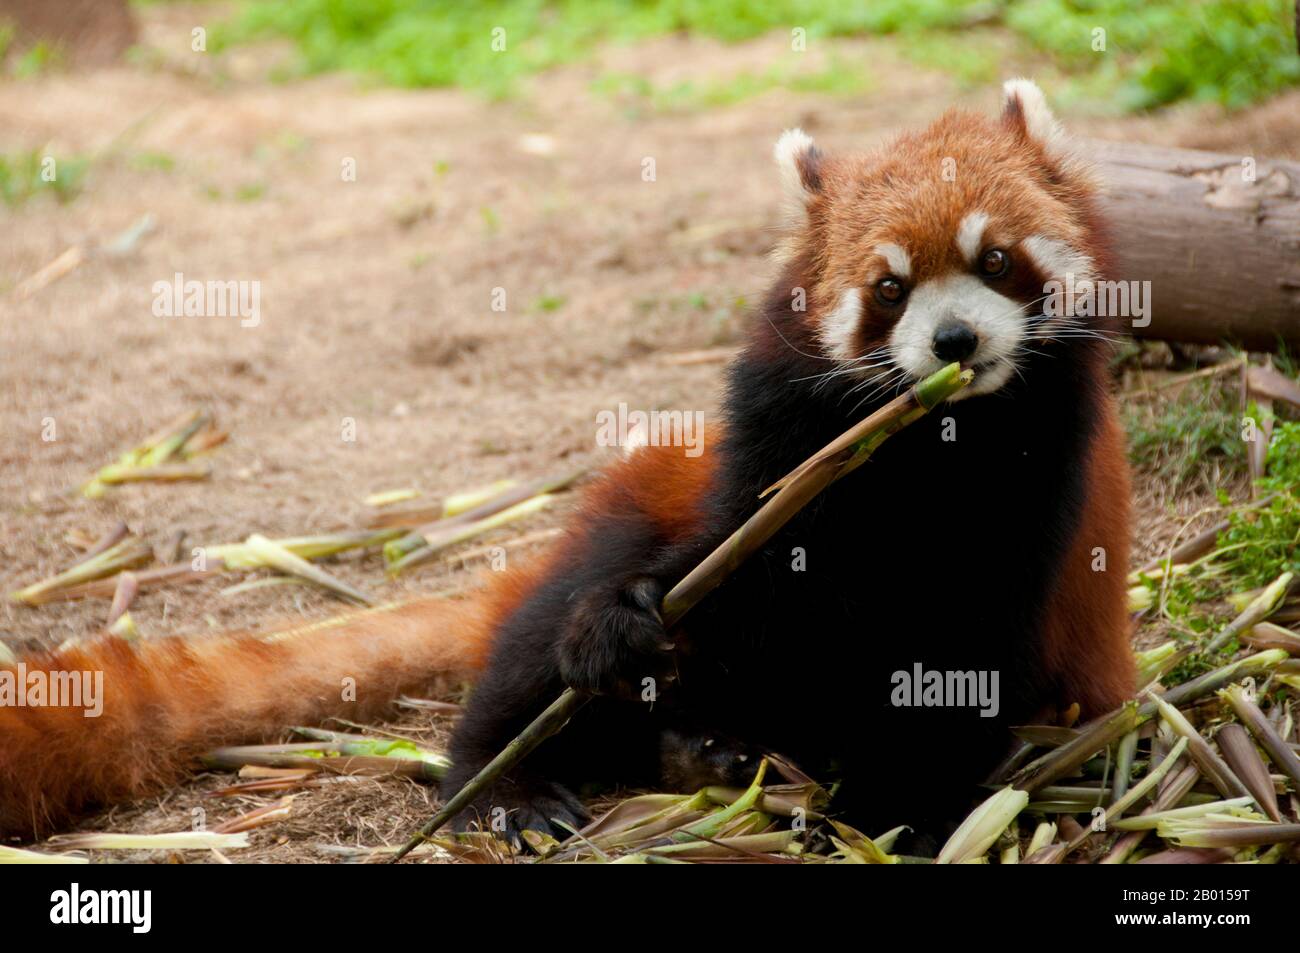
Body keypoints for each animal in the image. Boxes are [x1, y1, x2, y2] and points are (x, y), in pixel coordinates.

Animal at [0, 79, 1128, 842]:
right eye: (889, 288)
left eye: (993, 260)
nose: (953, 344)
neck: (918, 448)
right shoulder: (776, 440)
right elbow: (740, 562)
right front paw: (622, 626)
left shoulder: (1035, 489)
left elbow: (959, 654)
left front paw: (902, 805)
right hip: (619, 515)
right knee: (538, 646)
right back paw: (531, 773)